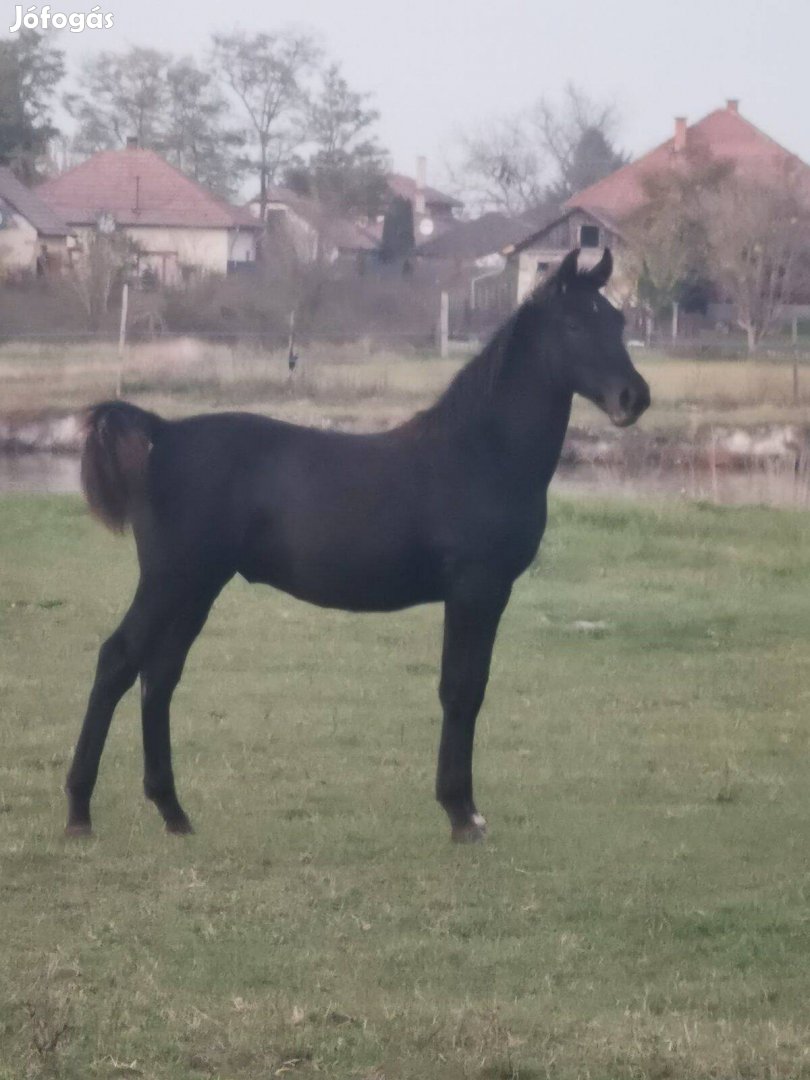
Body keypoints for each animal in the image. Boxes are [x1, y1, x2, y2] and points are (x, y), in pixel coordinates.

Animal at [68, 247, 652, 842]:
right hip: (171, 581)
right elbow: (460, 690)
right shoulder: (476, 590)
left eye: (618, 320)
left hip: (198, 589)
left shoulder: (485, 595)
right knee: (117, 661)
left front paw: (464, 809)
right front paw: (461, 813)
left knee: (159, 676)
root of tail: (162, 434)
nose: (634, 398)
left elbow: (472, 689)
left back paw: (173, 812)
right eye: (575, 324)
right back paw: (79, 813)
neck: (480, 454)